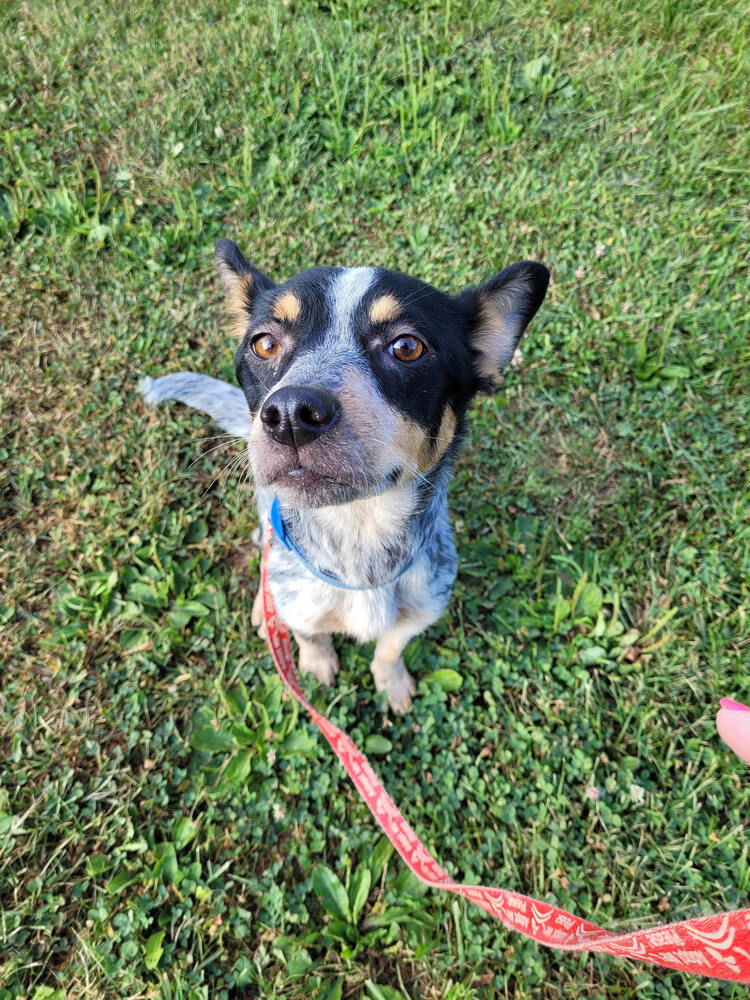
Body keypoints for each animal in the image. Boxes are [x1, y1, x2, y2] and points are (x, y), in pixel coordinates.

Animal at [141, 239, 548, 716]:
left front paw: (392, 684)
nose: (290, 414)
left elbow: (389, 649)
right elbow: (309, 637)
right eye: (264, 344)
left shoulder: (422, 608)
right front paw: (316, 668)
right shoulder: (300, 605)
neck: (358, 536)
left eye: (407, 347)